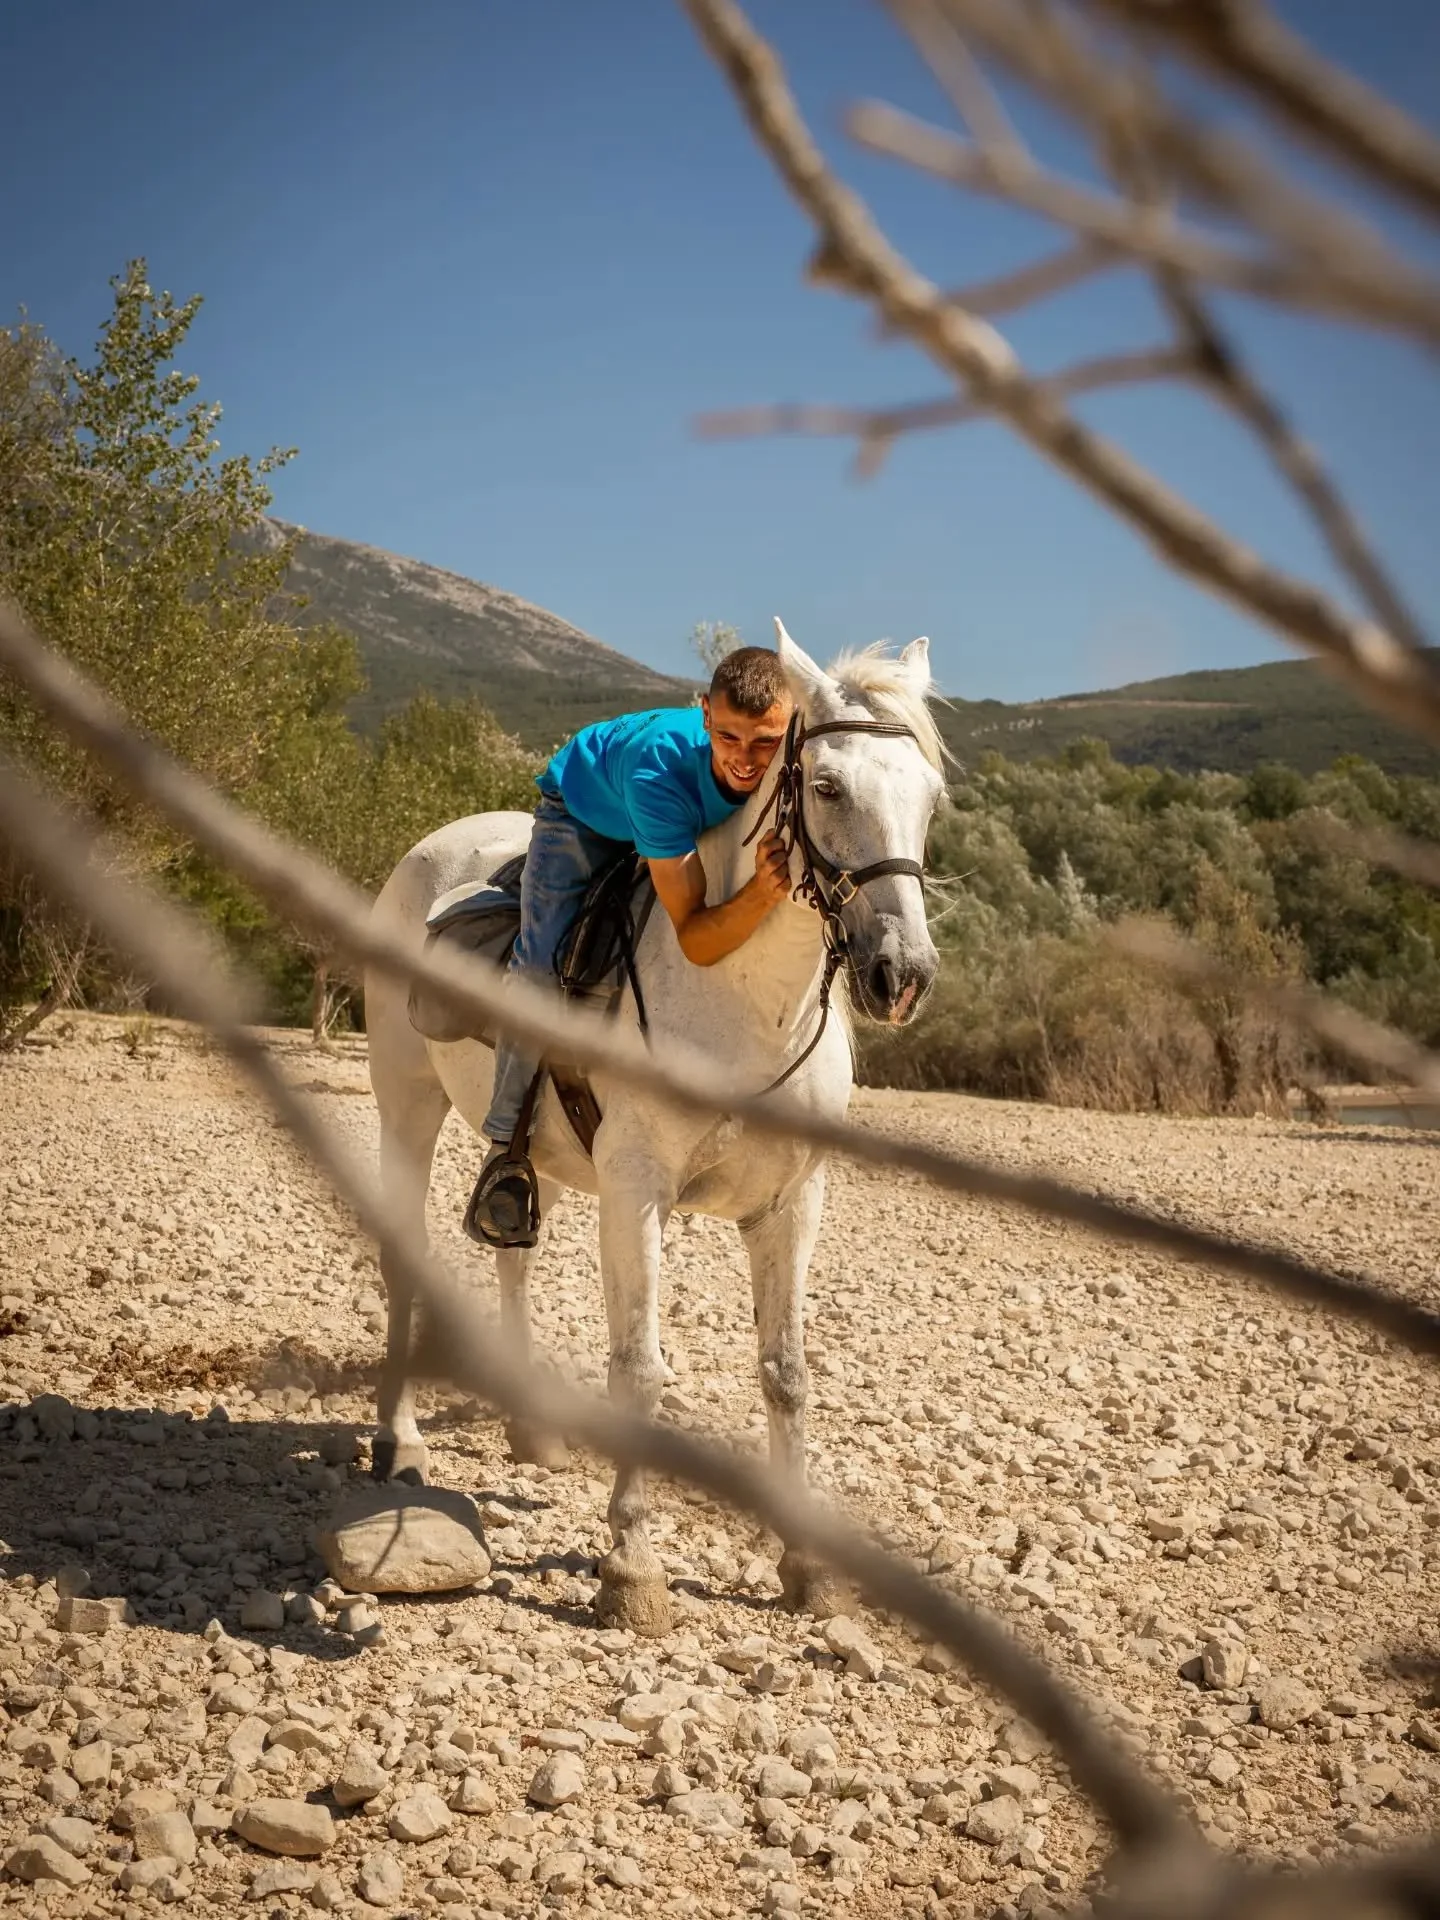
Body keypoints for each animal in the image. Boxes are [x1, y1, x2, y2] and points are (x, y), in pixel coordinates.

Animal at [363, 620, 943, 1634]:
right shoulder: (637, 1189)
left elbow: (786, 1371)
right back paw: (399, 1448)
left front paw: (804, 1568)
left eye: (929, 799)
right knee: (407, 1260)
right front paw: (632, 1567)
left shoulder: (792, 1204)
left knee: (513, 1251)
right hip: (406, 1102)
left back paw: (533, 1431)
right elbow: (638, 1367)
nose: (899, 975)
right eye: (828, 787)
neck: (746, 1005)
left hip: (539, 1159)